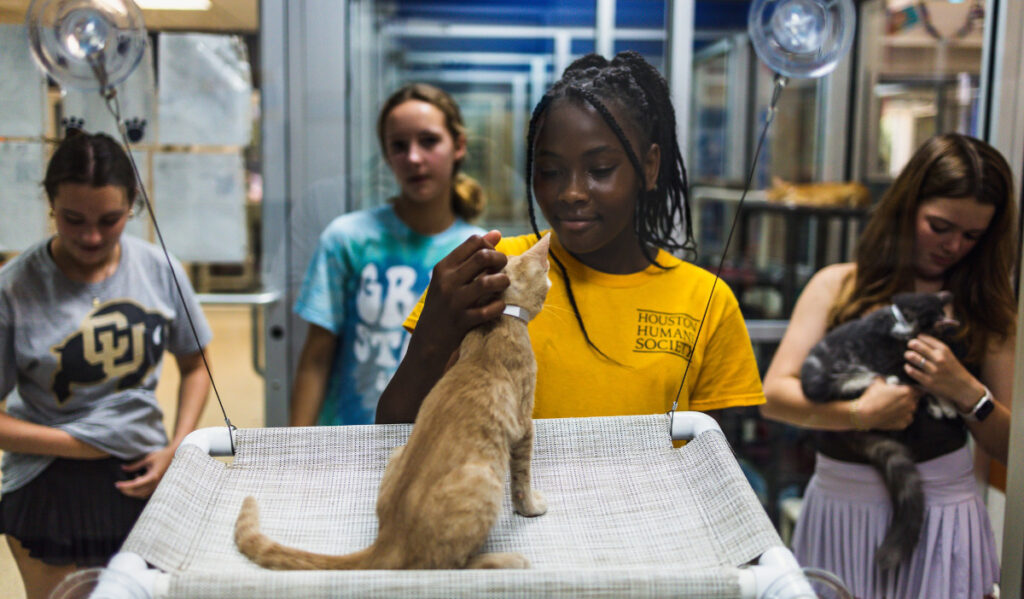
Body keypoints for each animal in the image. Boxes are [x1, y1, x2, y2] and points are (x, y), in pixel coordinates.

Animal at [234, 231, 552, 569]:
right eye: (545, 279)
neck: (495, 326)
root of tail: (390, 537)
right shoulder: (523, 424)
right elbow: (521, 478)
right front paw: (530, 507)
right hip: (484, 483)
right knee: (445, 563)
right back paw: (504, 559)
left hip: (398, 452)